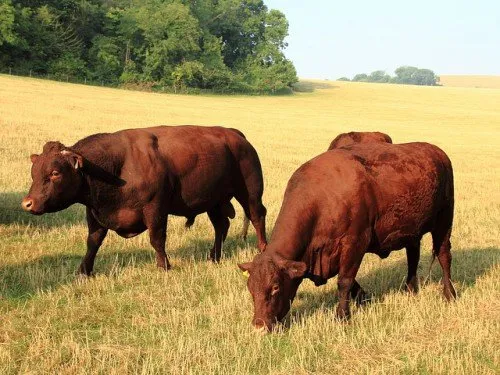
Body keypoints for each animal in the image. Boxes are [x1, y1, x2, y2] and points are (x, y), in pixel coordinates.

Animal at [21, 126, 268, 276]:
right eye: (34, 171)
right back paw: (214, 256)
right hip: (213, 201)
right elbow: (93, 242)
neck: (118, 166)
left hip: (249, 192)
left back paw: (262, 249)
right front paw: (84, 271)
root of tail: (234, 134)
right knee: (221, 226)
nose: (27, 203)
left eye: (55, 173)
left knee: (257, 216)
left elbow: (157, 239)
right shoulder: (94, 212)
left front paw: (164, 266)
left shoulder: (155, 208)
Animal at [239, 142, 458, 332]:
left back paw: (450, 294)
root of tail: (437, 152)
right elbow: (351, 283)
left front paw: (342, 316)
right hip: (411, 232)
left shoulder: (355, 243)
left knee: (444, 256)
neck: (322, 199)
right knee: (413, 258)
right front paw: (364, 299)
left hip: (444, 222)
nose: (259, 325)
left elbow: (344, 281)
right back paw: (410, 289)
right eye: (250, 288)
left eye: (275, 287)